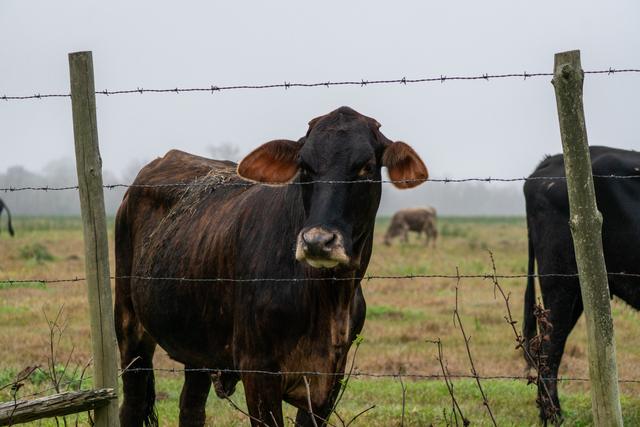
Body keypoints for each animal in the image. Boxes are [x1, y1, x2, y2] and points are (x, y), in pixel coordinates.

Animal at [115, 106, 428, 427]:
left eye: (366, 167)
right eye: (305, 166)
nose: (318, 241)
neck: (329, 298)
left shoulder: (330, 380)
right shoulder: (258, 371)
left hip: (197, 345)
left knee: (191, 407)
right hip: (128, 325)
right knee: (132, 404)